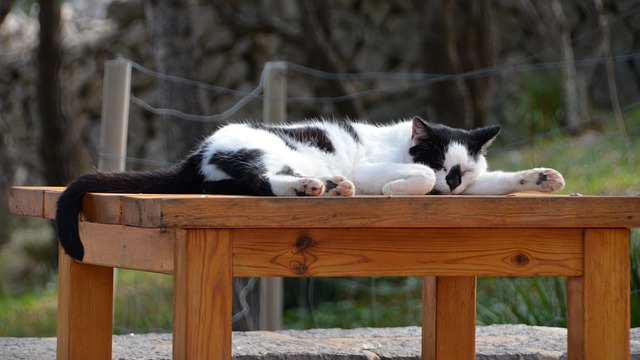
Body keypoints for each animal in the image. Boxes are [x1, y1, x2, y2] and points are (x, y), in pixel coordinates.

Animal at [56, 116, 564, 260]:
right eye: (439, 163)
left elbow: (498, 182)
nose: (451, 184)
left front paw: (541, 178)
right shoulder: (375, 167)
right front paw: (397, 190)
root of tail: (198, 152)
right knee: (260, 183)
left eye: (461, 171)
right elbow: (412, 181)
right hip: (265, 152)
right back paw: (321, 187)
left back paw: (328, 187)